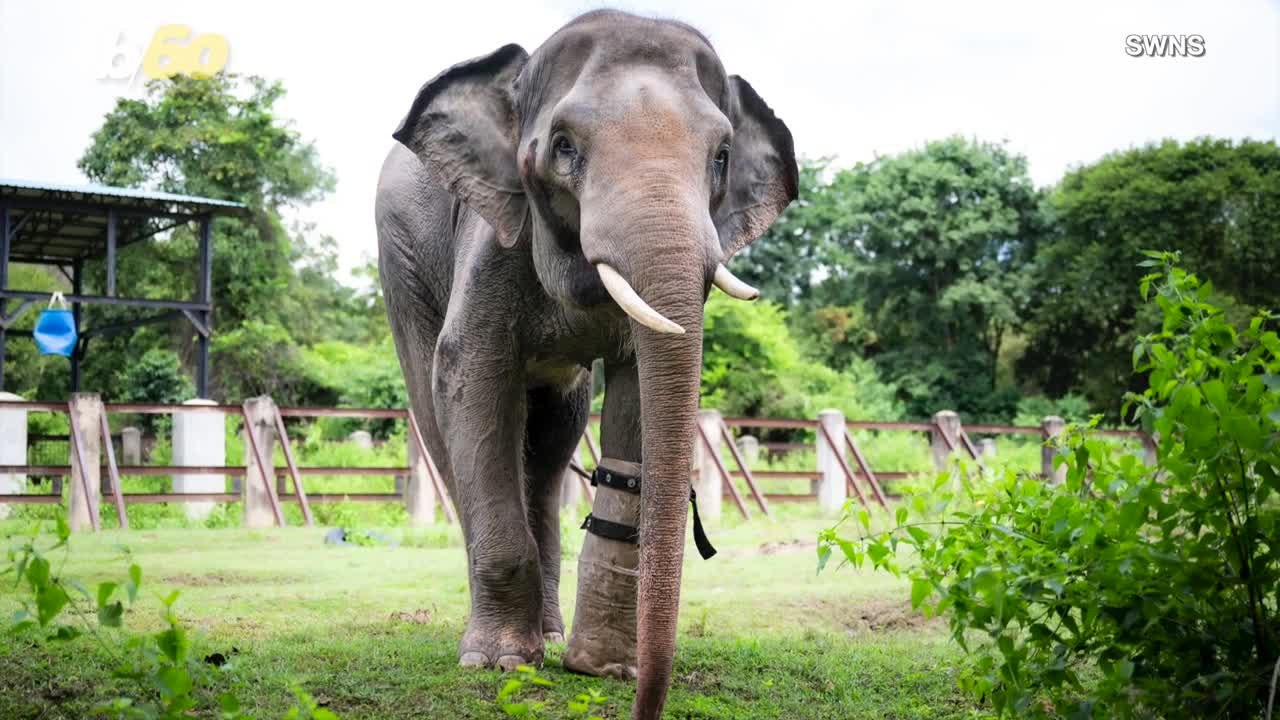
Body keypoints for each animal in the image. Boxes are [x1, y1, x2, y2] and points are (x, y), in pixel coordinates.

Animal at [375, 10, 797, 719]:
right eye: (564, 147)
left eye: (722, 156)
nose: (643, 703)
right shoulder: (495, 235)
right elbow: (471, 374)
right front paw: (500, 664)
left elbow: (635, 391)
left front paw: (602, 669)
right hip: (399, 259)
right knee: (443, 425)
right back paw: (500, 644)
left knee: (550, 447)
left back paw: (547, 636)